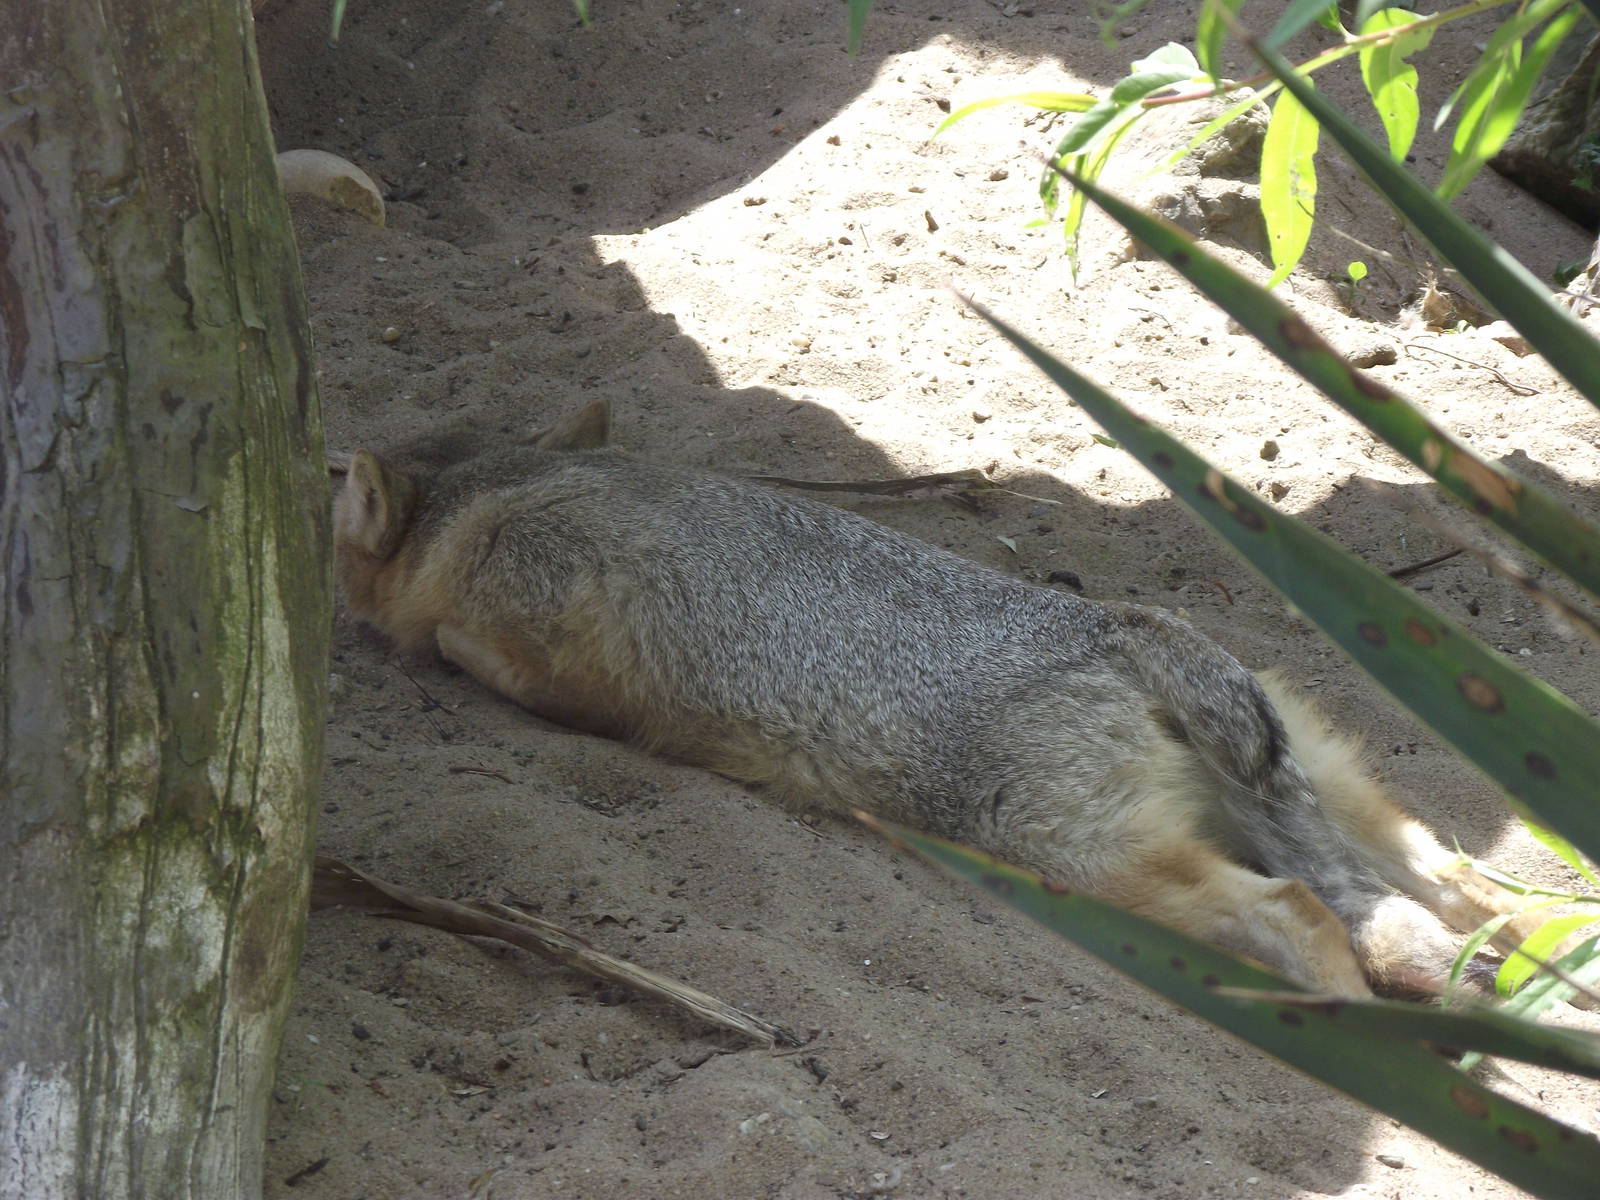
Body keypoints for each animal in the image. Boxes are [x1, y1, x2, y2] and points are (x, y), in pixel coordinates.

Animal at [333, 398, 1542, 997]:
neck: (502, 493)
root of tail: (1125, 627)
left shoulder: (541, 638)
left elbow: (472, 654)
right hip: (1320, 791)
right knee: (1464, 889)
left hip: (1078, 859)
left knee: (1301, 910)